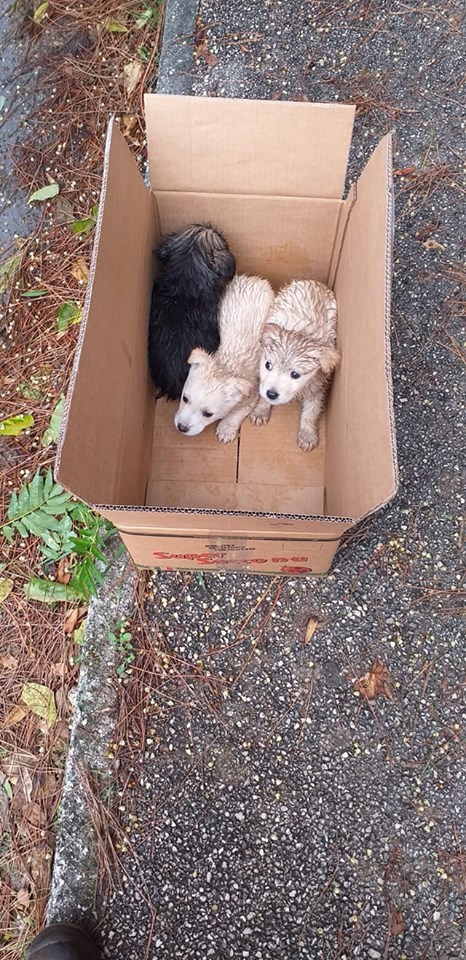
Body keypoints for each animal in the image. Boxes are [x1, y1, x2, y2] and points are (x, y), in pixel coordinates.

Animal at [174, 276, 274, 444]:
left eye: (208, 414)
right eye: (185, 398)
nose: (181, 427)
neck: (226, 366)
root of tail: (255, 279)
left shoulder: (252, 392)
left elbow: (238, 412)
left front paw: (226, 429)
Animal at [253, 280, 340, 452]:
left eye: (295, 375)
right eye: (267, 365)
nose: (271, 394)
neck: (301, 333)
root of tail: (315, 282)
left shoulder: (318, 385)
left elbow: (311, 411)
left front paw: (307, 434)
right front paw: (261, 408)